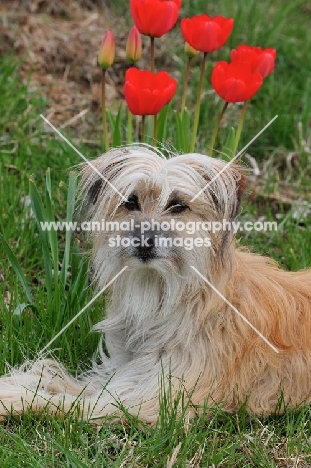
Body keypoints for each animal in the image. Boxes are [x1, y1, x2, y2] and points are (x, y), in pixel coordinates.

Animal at [0, 147, 311, 424]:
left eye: (178, 205)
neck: (167, 294)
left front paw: (13, 397)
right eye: (131, 201)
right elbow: (60, 381)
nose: (144, 240)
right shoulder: (125, 376)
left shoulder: (149, 401)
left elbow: (65, 402)